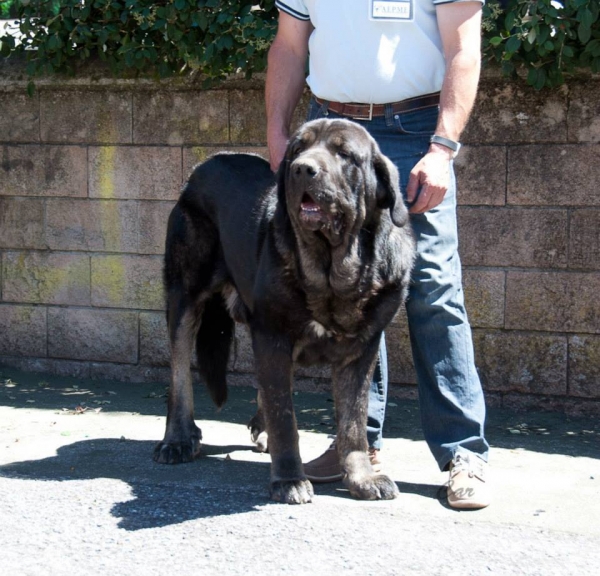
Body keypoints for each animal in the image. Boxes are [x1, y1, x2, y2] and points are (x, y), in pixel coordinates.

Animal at [155, 118, 414, 504]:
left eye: (344, 154)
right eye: (297, 150)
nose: (302, 169)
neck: (333, 271)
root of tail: (203, 166)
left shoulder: (361, 351)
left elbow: (353, 422)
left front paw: (362, 478)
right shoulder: (274, 336)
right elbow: (285, 417)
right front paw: (289, 479)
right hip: (184, 298)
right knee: (179, 375)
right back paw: (177, 439)